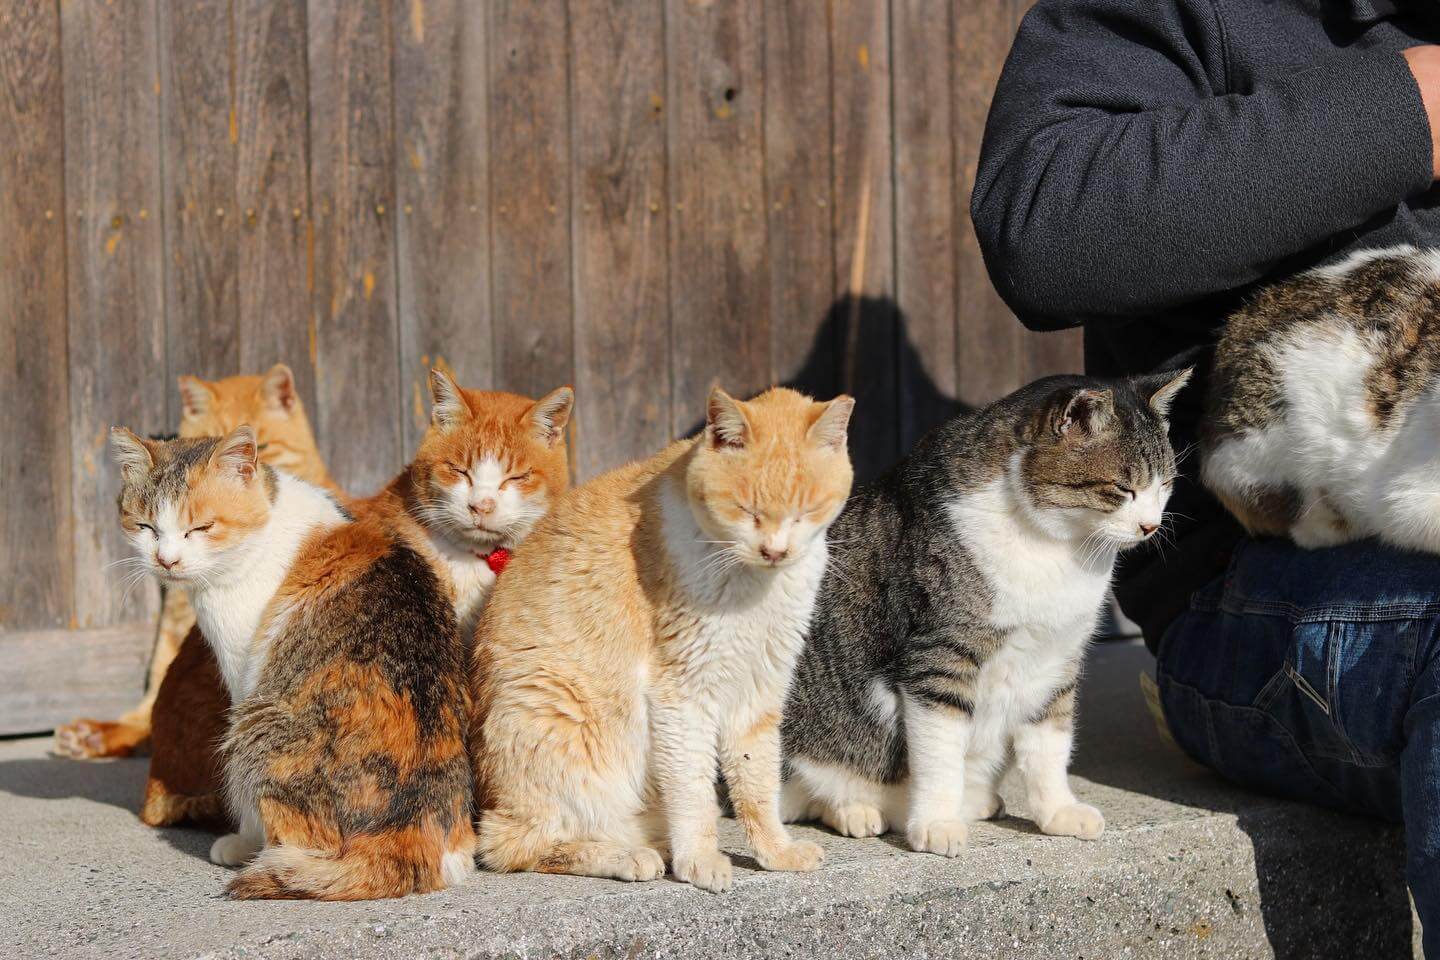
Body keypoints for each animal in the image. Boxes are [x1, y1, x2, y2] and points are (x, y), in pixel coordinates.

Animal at [472, 385, 852, 892]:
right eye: (745, 510)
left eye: (805, 511)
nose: (775, 550)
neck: (755, 586)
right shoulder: (683, 693)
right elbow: (692, 789)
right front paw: (701, 860)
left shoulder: (758, 688)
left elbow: (757, 783)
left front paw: (775, 852)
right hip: (552, 715)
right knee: (513, 845)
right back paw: (626, 856)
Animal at [783, 371, 1186, 857]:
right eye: (1122, 489)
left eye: (1164, 485)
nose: (1151, 526)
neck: (1057, 548)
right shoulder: (940, 653)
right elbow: (940, 750)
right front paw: (937, 823)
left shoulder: (1057, 658)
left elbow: (1050, 744)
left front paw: (1058, 811)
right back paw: (857, 810)